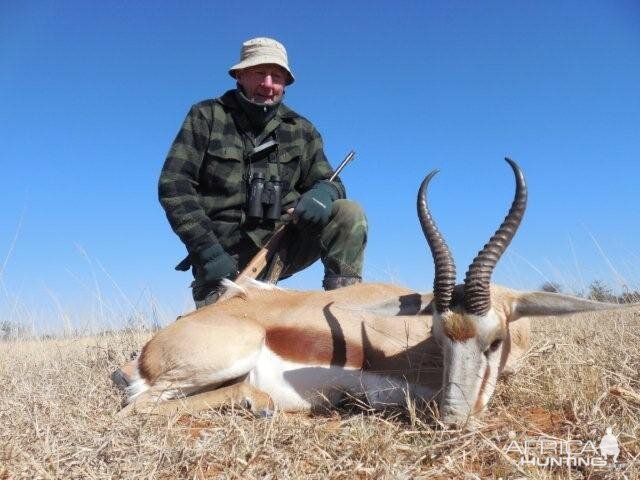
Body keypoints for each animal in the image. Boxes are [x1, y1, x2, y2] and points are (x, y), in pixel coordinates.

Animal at [117, 160, 628, 424]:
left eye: (494, 340)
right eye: (438, 336)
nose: (452, 417)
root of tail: (143, 355)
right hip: (226, 356)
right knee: (138, 405)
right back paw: (258, 403)